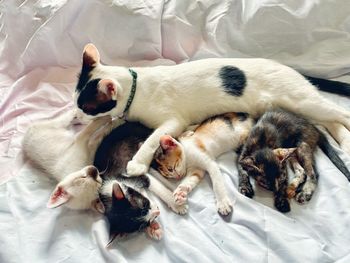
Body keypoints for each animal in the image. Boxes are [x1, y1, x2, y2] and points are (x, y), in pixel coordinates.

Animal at [74, 43, 350, 179]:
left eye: (86, 107)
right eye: (76, 102)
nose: (76, 116)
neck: (137, 85)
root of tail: (291, 69)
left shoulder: (173, 121)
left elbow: (153, 138)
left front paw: (137, 163)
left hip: (301, 100)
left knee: (340, 113)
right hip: (302, 107)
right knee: (330, 122)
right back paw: (344, 141)